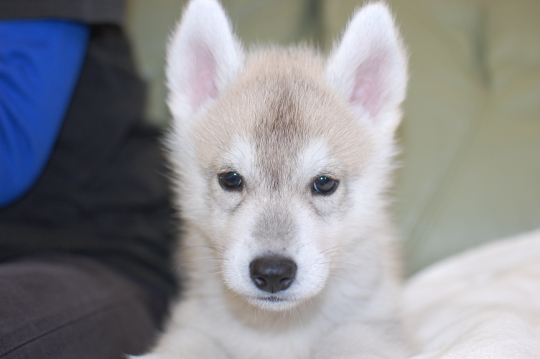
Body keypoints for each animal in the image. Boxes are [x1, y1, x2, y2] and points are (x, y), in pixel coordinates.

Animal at [136, 0, 410, 358]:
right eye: (231, 179)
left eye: (324, 183)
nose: (272, 273)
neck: (277, 330)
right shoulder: (191, 325)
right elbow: (188, 345)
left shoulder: (378, 325)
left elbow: (346, 338)